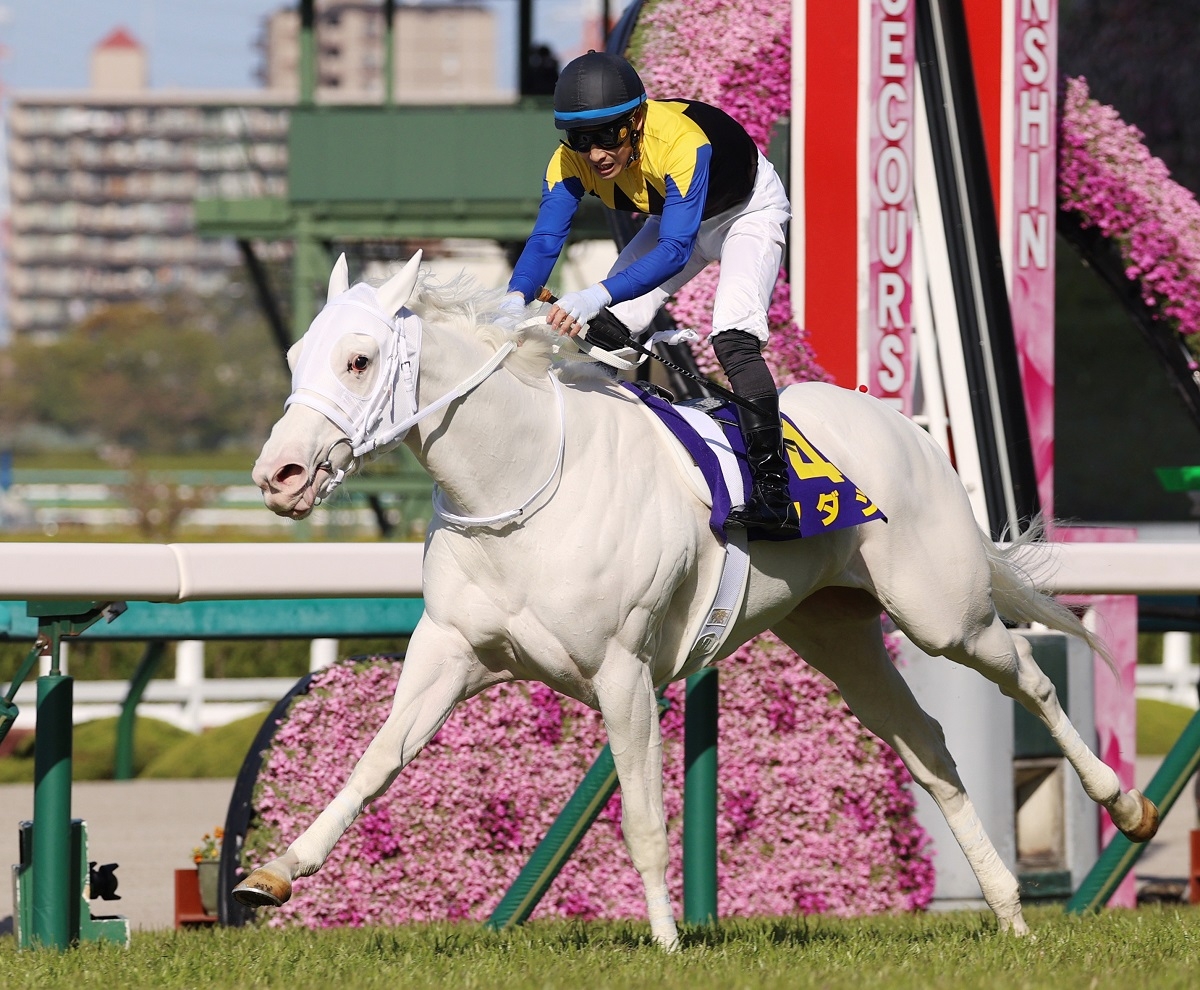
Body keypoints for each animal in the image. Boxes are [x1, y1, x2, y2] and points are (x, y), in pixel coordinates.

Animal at [238, 253, 1156, 940]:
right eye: (293, 358)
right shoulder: (452, 651)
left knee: (1029, 679)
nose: (277, 475)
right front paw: (275, 872)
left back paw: (1126, 805)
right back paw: (1008, 909)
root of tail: (909, 425)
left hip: (942, 614)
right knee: (928, 746)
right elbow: (375, 763)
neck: (520, 482)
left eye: (358, 360)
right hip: (839, 635)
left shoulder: (623, 673)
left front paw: (667, 940)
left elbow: (644, 818)